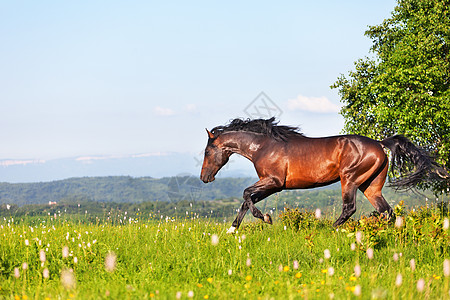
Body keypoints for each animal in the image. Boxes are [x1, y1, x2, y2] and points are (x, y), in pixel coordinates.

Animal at [200, 118, 446, 233]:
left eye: (206, 151)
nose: (204, 178)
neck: (263, 146)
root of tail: (379, 143)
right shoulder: (272, 185)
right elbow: (246, 200)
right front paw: (232, 230)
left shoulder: (273, 182)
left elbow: (246, 194)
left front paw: (266, 218)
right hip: (370, 186)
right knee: (386, 211)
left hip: (350, 179)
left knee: (350, 208)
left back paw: (330, 229)